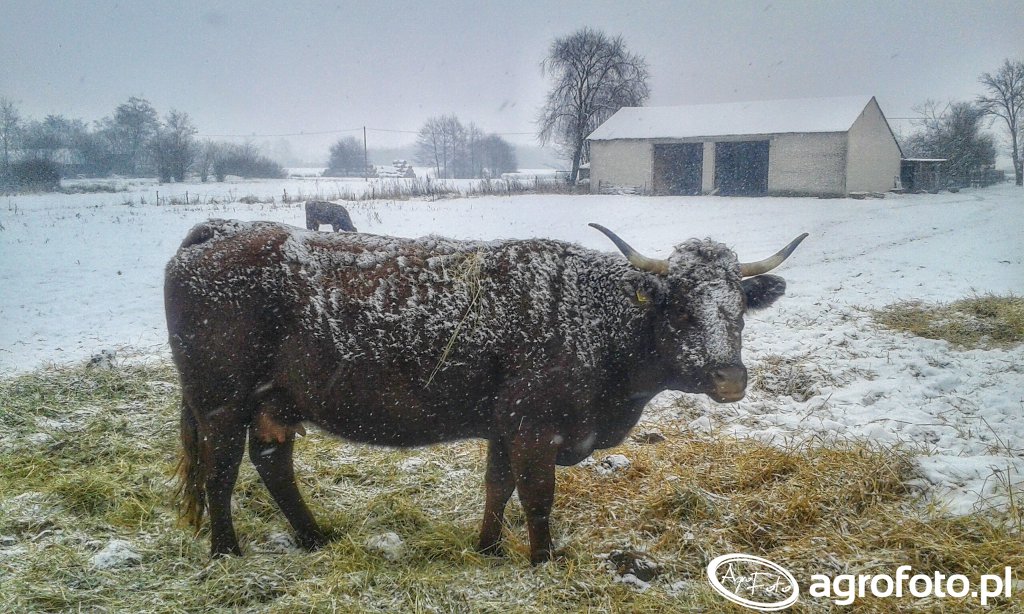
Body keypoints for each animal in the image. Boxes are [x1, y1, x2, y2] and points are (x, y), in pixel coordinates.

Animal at [165, 219, 806, 564]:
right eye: (680, 310)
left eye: (739, 308)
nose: (730, 379)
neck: (590, 321)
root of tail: (222, 230)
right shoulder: (535, 428)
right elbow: (537, 498)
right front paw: (543, 562)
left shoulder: (506, 425)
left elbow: (498, 488)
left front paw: (489, 548)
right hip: (220, 403)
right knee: (221, 474)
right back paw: (226, 551)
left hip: (274, 404)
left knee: (272, 463)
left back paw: (314, 536)